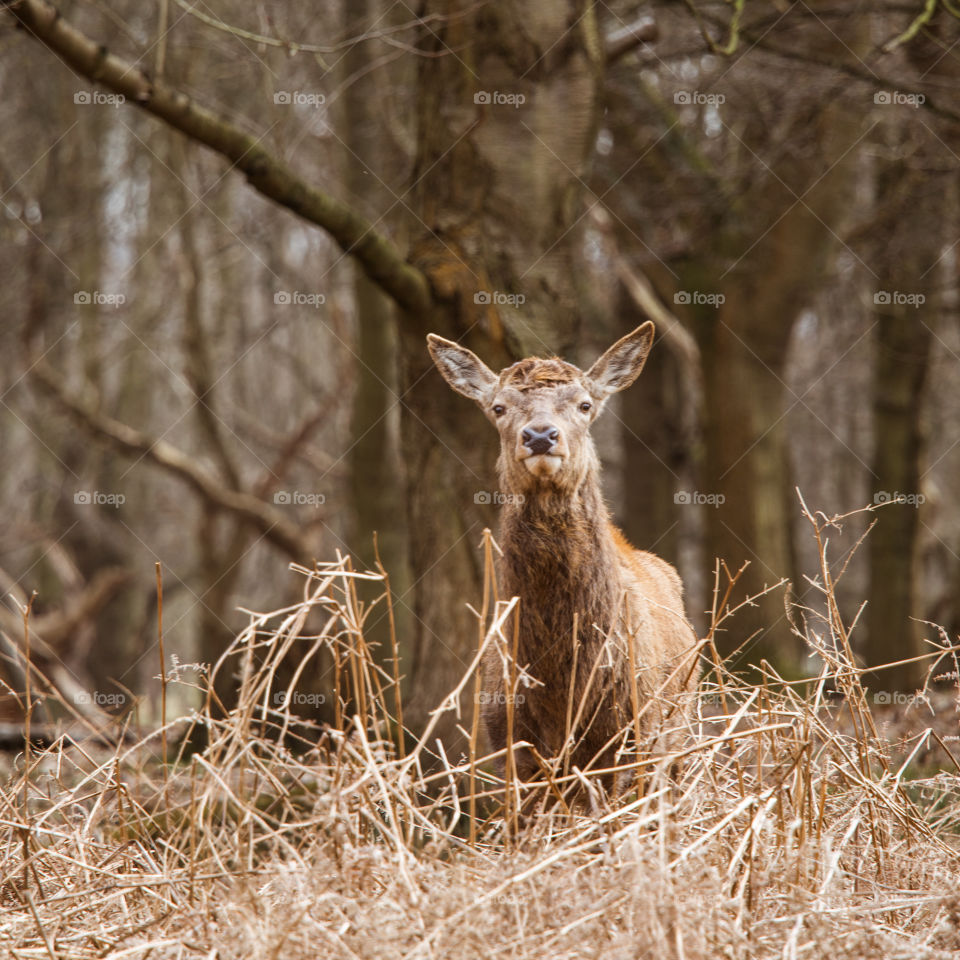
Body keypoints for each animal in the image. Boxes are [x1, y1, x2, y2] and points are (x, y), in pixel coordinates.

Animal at [428, 324, 696, 808]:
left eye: (584, 404)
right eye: (498, 407)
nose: (539, 435)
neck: (563, 687)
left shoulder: (632, 734)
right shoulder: (510, 744)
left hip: (680, 727)